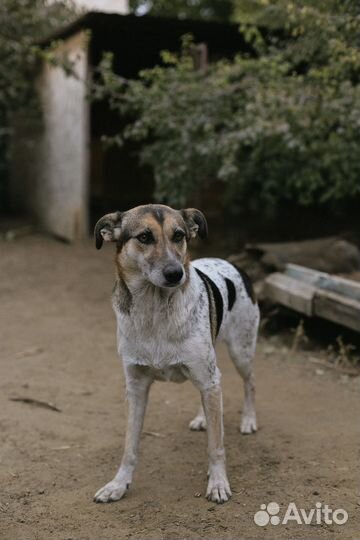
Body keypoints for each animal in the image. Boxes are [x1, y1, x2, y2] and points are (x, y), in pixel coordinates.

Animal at [93, 205, 258, 504]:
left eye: (179, 235)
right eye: (144, 237)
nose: (175, 273)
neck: (155, 310)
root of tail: (234, 264)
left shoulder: (208, 375)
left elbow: (216, 446)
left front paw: (218, 483)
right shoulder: (136, 387)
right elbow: (129, 446)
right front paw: (118, 484)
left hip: (241, 350)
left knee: (249, 382)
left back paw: (249, 420)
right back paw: (203, 418)